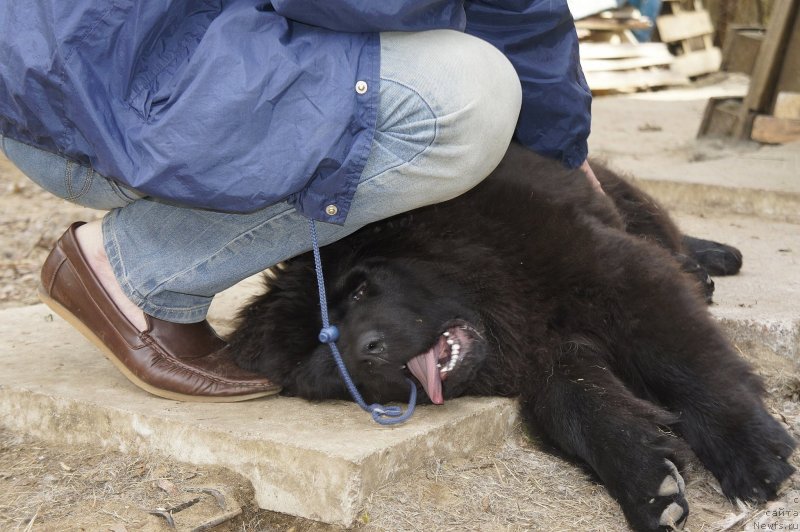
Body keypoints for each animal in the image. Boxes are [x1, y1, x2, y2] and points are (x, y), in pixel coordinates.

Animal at [230, 143, 792, 528]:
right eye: (323, 355)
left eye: (362, 288)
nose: (365, 350)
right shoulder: (547, 349)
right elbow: (580, 408)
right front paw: (647, 481)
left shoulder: (617, 274)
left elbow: (686, 363)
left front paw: (750, 451)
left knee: (661, 230)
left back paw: (707, 260)